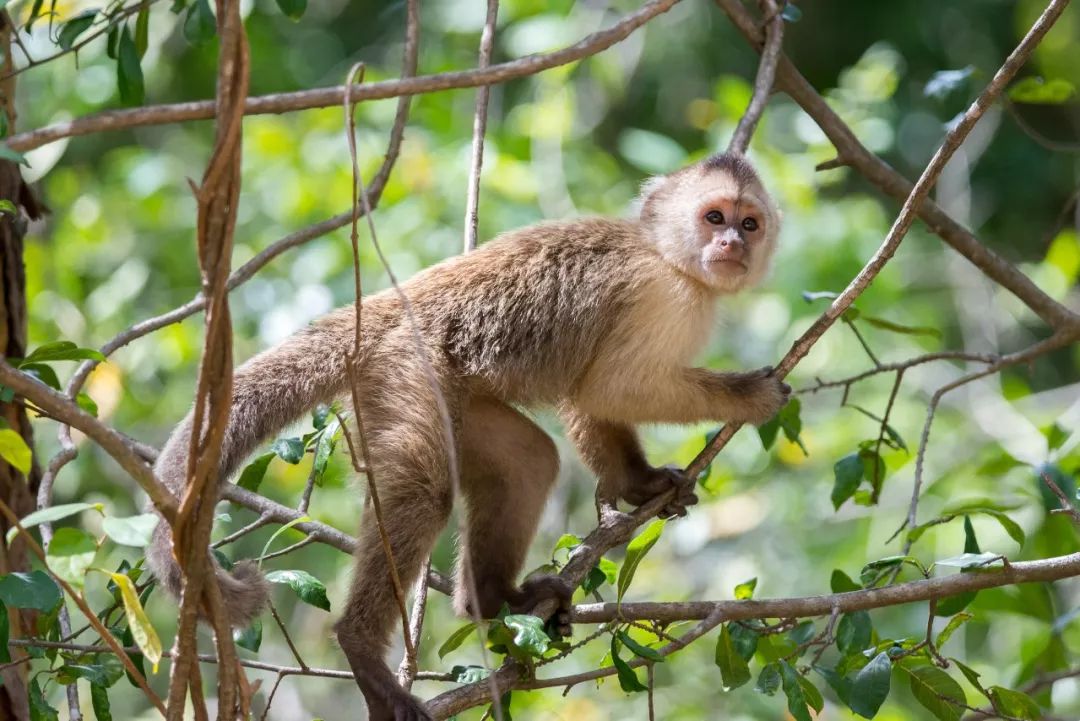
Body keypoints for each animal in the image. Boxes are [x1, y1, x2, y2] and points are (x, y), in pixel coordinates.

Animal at [145, 153, 786, 721]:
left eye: (749, 223)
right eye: (714, 218)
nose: (732, 246)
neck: (665, 255)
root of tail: (376, 312)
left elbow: (589, 398)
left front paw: (640, 484)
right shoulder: (662, 296)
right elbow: (616, 386)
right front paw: (747, 398)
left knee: (529, 460)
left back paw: (493, 601)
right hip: (408, 365)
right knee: (426, 493)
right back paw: (363, 651)